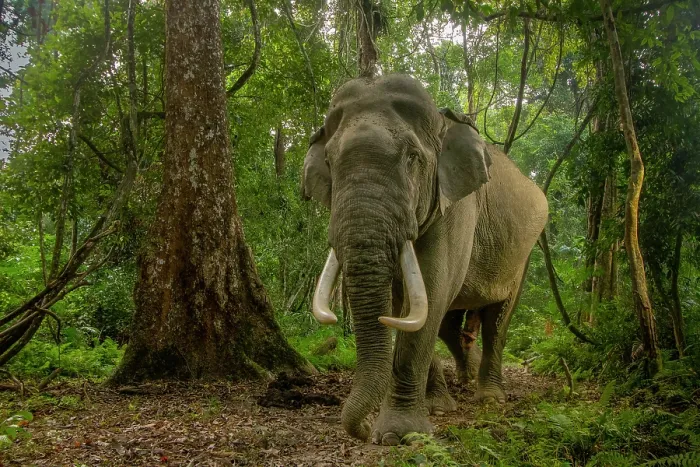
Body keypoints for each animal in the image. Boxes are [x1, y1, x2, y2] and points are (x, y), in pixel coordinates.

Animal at [301, 74, 548, 445]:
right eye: (329, 161)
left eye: (412, 158)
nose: (362, 430)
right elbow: (409, 305)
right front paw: (435, 407)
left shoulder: (457, 206)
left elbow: (430, 291)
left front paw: (397, 435)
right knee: (451, 322)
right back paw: (464, 376)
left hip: (524, 255)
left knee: (497, 320)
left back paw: (490, 396)